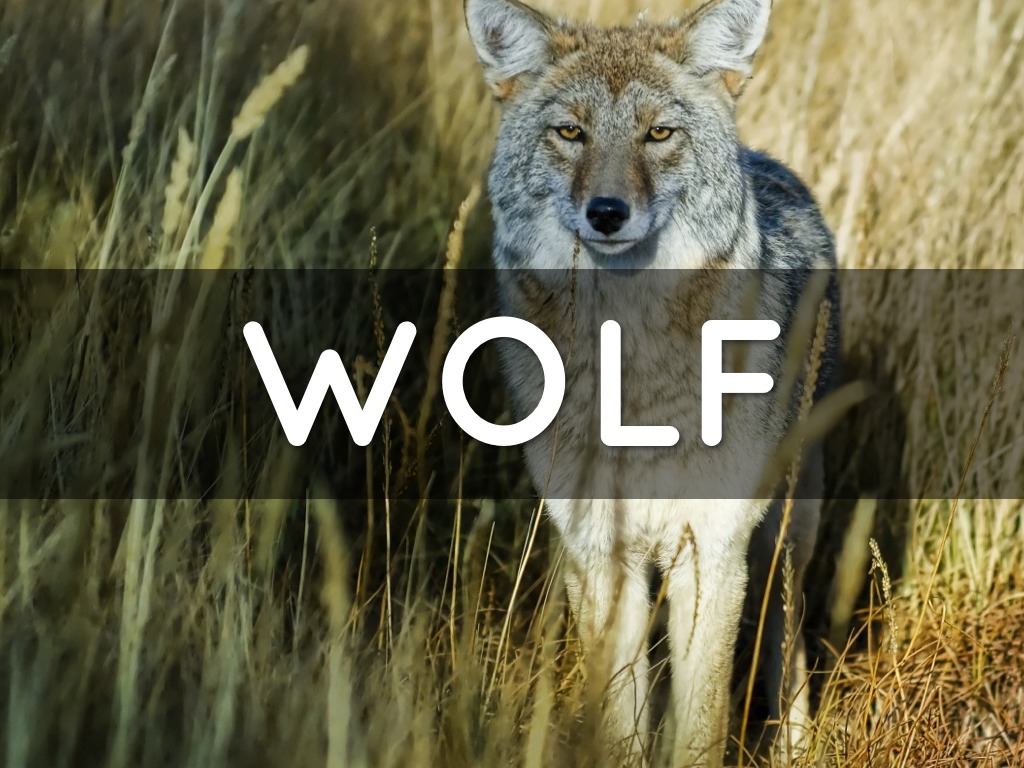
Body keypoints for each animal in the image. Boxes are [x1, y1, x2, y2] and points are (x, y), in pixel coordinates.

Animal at [464, 0, 840, 765]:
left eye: (658, 133)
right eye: (571, 132)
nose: (608, 212)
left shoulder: (714, 553)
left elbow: (700, 725)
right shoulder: (599, 555)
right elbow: (623, 722)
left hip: (782, 540)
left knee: (786, 647)